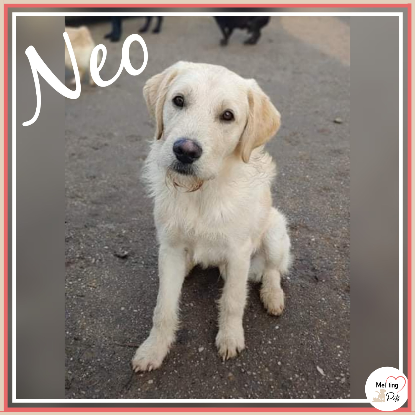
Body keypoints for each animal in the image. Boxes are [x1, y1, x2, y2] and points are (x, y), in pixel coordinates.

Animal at [132, 62, 291, 372]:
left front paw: (230, 338)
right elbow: (163, 307)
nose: (185, 151)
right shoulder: (169, 247)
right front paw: (154, 348)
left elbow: (232, 301)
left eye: (227, 115)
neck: (201, 194)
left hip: (276, 232)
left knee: (272, 270)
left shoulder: (239, 253)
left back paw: (273, 295)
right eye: (178, 100)